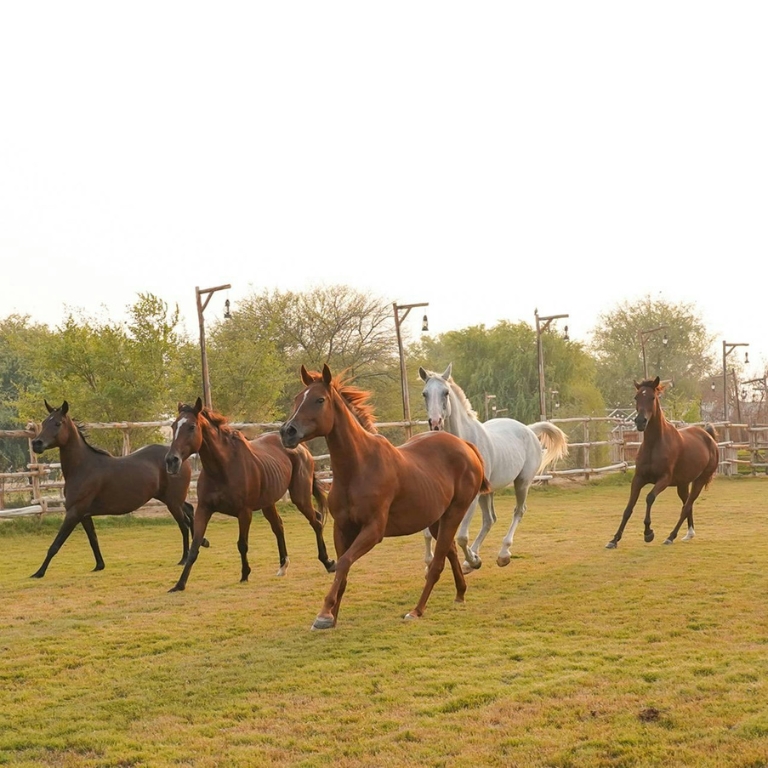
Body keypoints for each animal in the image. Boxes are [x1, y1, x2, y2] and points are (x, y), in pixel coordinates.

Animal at [29, 400, 197, 578]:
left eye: (58, 423)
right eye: (44, 422)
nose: (36, 444)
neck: (83, 467)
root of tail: (180, 458)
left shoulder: (74, 513)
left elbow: (55, 545)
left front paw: (38, 573)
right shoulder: (84, 515)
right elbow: (93, 540)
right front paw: (99, 565)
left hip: (173, 502)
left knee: (184, 524)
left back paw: (184, 559)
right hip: (173, 499)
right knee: (190, 510)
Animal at [164, 398, 336, 592]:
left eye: (192, 427)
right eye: (173, 426)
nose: (171, 461)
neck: (223, 468)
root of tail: (301, 448)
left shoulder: (244, 512)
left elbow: (242, 544)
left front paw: (245, 574)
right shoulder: (203, 509)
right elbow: (195, 546)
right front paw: (179, 584)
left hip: (300, 497)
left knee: (316, 520)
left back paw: (328, 562)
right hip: (269, 503)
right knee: (279, 527)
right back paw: (283, 566)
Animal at [279, 364, 490, 629]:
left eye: (319, 400)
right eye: (298, 399)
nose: (287, 432)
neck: (358, 467)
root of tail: (466, 446)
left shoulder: (373, 530)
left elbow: (345, 562)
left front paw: (325, 614)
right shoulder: (342, 528)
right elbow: (342, 568)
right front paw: (332, 615)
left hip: (455, 512)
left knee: (438, 562)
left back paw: (417, 610)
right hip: (435, 519)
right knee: (450, 550)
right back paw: (460, 593)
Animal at [419, 364, 569, 572]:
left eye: (446, 392)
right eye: (425, 393)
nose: (435, 423)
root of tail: (529, 429)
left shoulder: (471, 498)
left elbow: (461, 536)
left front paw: (474, 560)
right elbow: (428, 533)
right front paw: (430, 563)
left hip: (522, 483)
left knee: (518, 511)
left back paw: (502, 555)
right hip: (488, 492)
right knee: (489, 520)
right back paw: (472, 560)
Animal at [605, 377, 719, 549]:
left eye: (653, 397)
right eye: (636, 397)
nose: (640, 421)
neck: (655, 444)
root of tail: (709, 437)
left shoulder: (664, 479)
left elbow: (649, 498)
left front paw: (648, 533)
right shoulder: (638, 479)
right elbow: (628, 508)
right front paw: (614, 539)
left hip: (699, 481)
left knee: (686, 507)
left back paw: (670, 537)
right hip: (683, 484)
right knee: (687, 505)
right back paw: (689, 533)